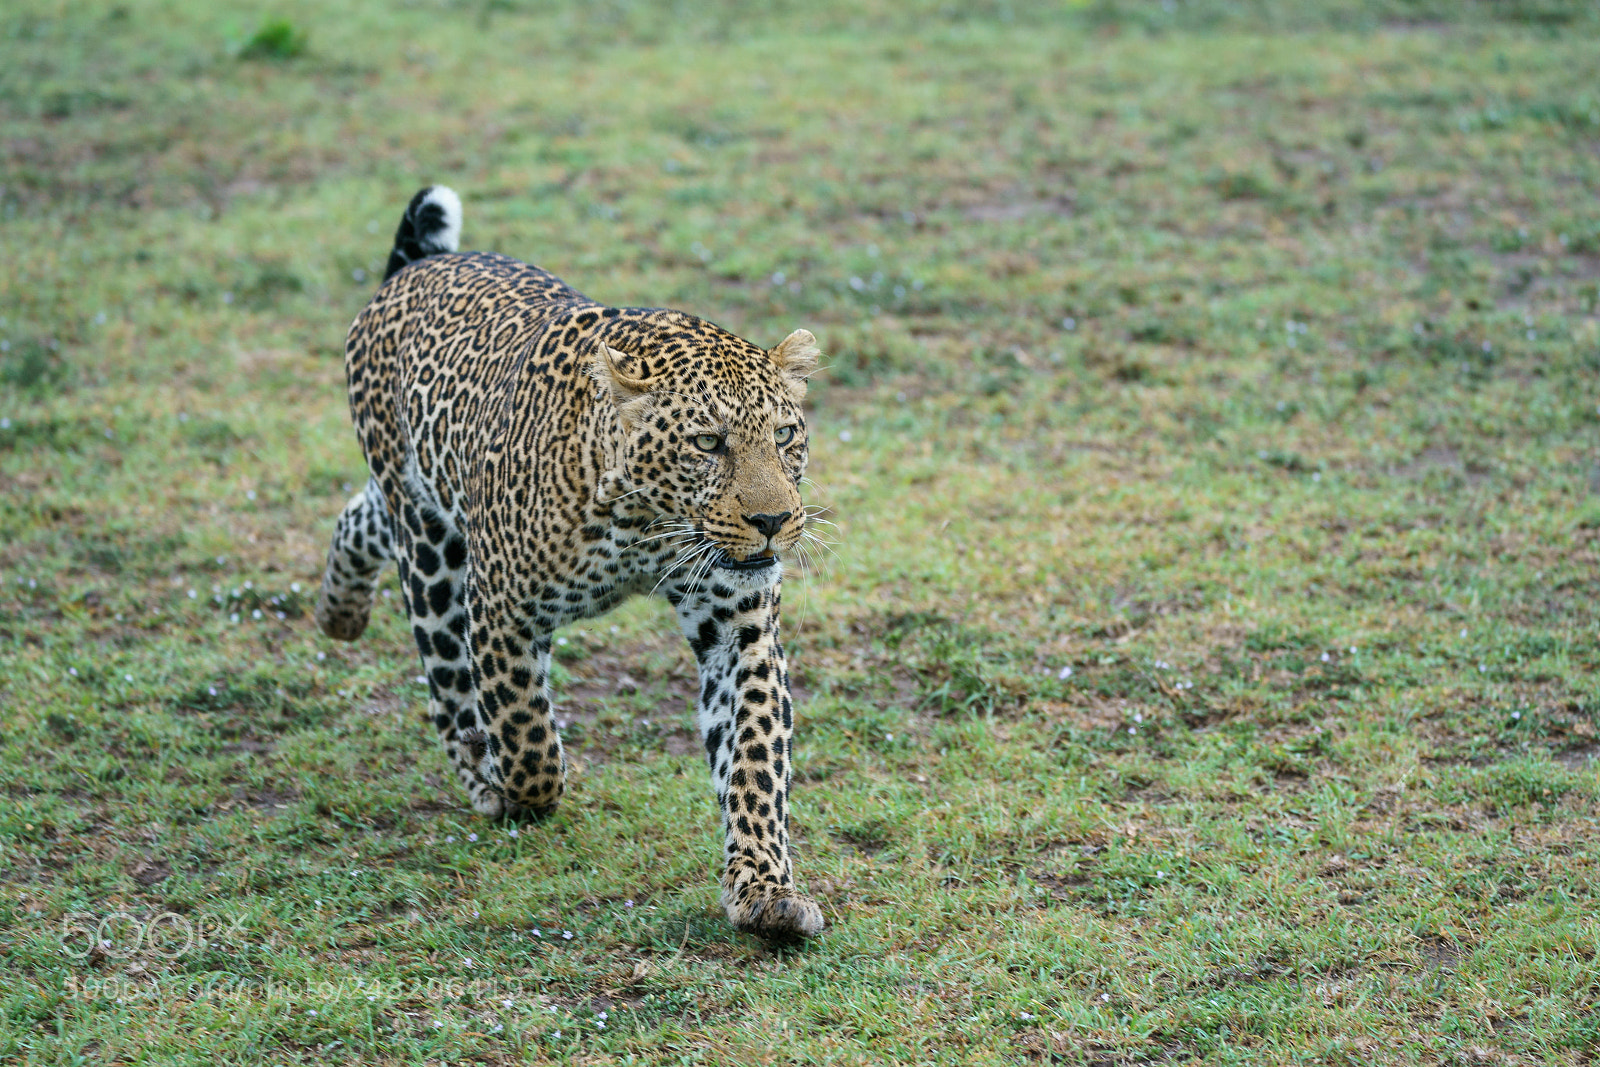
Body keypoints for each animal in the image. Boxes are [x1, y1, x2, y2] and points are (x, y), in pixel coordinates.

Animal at [314, 186, 825, 940]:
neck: (649, 523)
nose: (773, 521)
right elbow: (525, 735)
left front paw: (765, 889)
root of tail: (418, 267)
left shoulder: (739, 628)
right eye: (708, 443)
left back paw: (338, 611)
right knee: (446, 677)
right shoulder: (502, 607)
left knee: (362, 514)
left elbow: (755, 760)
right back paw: (476, 770)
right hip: (432, 541)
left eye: (785, 434)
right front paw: (517, 786)